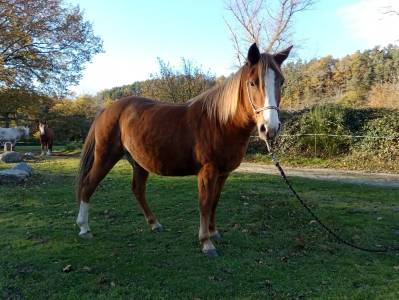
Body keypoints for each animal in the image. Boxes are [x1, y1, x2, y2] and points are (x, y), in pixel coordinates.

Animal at [76, 43, 294, 256]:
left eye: (281, 82)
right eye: (252, 83)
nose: (270, 128)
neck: (220, 122)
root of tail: (107, 109)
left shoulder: (223, 173)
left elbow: (214, 202)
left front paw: (214, 232)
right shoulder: (207, 171)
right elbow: (204, 204)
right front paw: (206, 242)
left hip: (139, 163)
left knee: (138, 190)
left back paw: (154, 224)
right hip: (106, 157)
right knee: (88, 185)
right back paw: (84, 228)